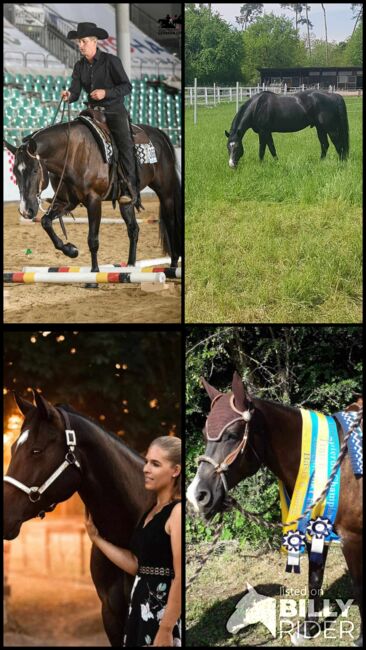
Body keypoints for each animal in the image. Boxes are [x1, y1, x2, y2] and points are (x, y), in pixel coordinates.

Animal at [2, 119, 180, 278]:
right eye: (15, 172)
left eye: (34, 170)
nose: (26, 210)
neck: (72, 154)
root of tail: (158, 133)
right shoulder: (66, 202)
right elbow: (46, 222)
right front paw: (71, 250)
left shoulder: (93, 201)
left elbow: (92, 240)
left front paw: (94, 274)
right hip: (126, 201)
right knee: (133, 229)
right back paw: (130, 266)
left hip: (166, 192)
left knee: (171, 222)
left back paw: (173, 264)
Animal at [189, 370, 364, 644]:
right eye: (207, 437)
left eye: (233, 435)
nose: (197, 496)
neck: (336, 466)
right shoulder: (317, 528)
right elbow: (315, 577)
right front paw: (308, 628)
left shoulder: (352, 538)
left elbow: (357, 584)